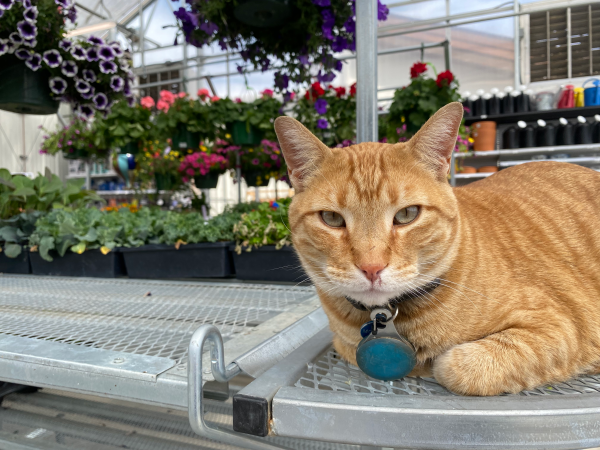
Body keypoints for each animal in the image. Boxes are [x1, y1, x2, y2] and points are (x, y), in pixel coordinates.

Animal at [274, 101, 600, 394]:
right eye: (331, 219)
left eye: (407, 214)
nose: (372, 267)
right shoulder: (343, 345)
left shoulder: (562, 328)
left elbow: (454, 366)